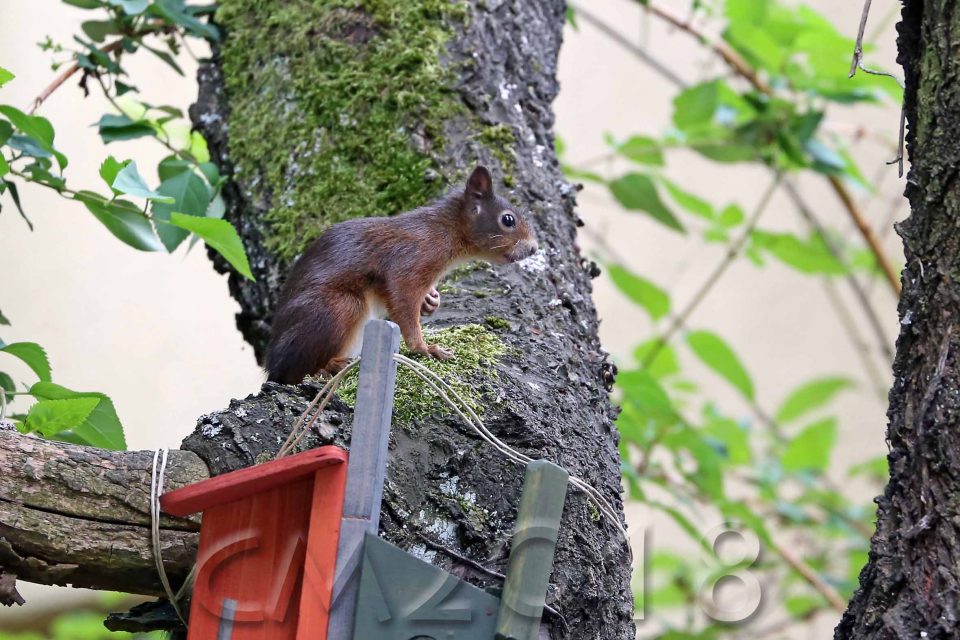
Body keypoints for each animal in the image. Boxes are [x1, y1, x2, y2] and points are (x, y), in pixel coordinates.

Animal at [265, 166, 539, 384]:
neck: (446, 230)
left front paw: (431, 300)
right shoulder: (409, 262)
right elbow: (404, 305)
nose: (534, 248)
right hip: (337, 308)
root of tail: (273, 363)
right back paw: (327, 367)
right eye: (508, 220)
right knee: (292, 371)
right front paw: (425, 348)